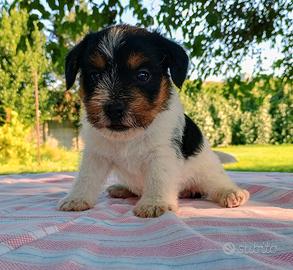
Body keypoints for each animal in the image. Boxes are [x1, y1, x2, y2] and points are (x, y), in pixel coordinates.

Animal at [57, 24, 249, 217]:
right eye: (95, 75)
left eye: (143, 75)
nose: (113, 109)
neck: (130, 136)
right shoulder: (95, 154)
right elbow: (86, 177)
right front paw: (77, 198)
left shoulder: (161, 153)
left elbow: (158, 178)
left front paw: (154, 203)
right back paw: (122, 188)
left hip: (207, 169)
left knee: (215, 182)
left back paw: (231, 193)